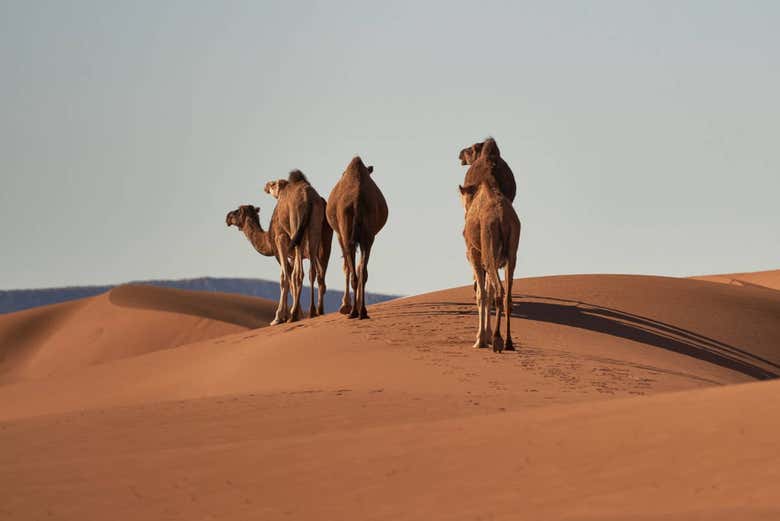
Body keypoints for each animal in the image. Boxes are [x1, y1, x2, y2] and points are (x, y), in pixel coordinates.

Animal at [327, 156, 388, 319]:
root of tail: (357, 201)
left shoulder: (340, 235)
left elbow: (347, 267)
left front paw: (344, 306)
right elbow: (359, 268)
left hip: (347, 232)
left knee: (354, 271)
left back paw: (353, 311)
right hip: (368, 236)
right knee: (362, 272)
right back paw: (362, 311)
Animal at [459, 174, 521, 352]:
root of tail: (502, 218)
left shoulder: (474, 254)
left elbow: (482, 295)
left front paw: (480, 340)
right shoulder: (498, 259)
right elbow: (488, 293)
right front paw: (485, 336)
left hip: (488, 246)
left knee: (499, 291)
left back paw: (498, 339)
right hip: (511, 253)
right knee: (507, 296)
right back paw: (508, 343)